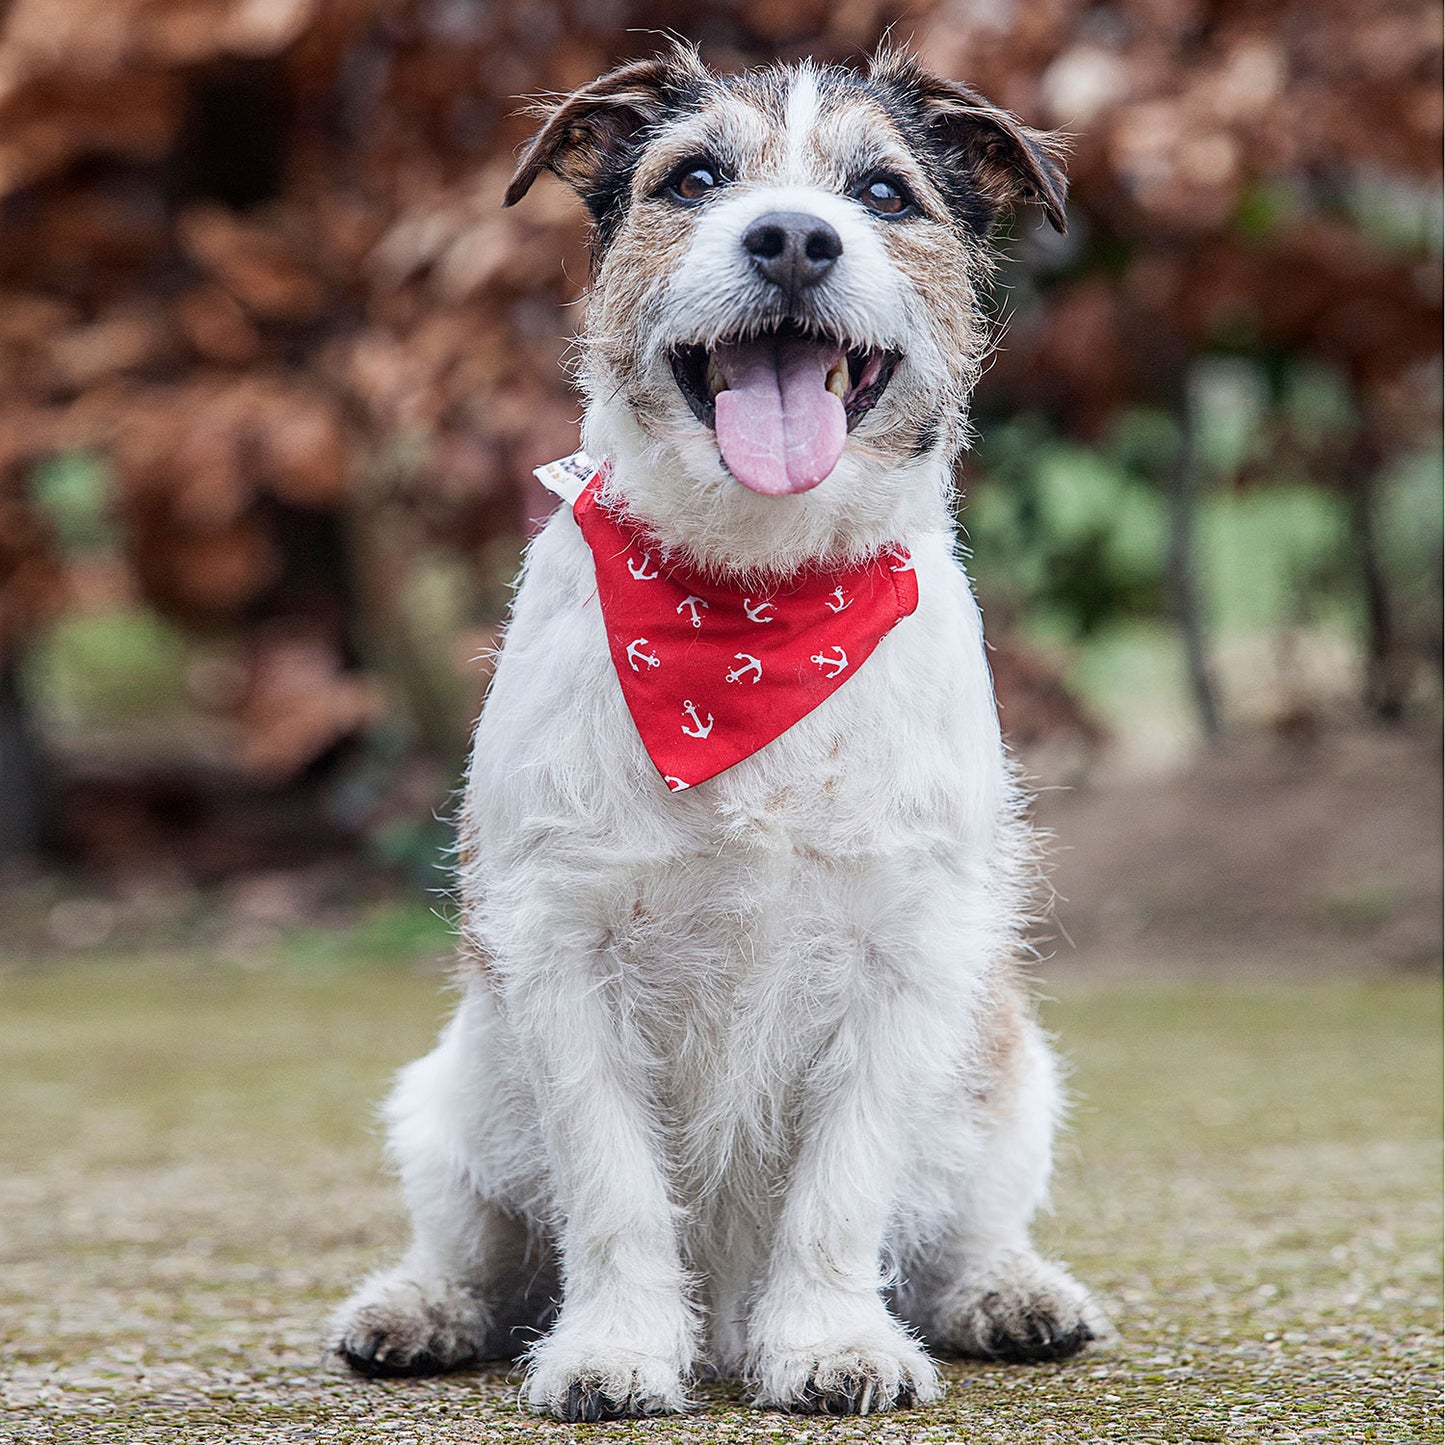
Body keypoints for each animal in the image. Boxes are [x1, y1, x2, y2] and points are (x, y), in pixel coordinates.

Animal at [335, 42, 1103, 1421]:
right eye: (691, 179)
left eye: (883, 192)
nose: (792, 237)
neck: (752, 595)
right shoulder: (564, 952)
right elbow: (611, 1190)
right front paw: (613, 1348)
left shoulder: (904, 957)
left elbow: (842, 1188)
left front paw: (829, 1338)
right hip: (448, 1097)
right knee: (483, 1243)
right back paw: (420, 1308)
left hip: (1007, 1081)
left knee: (957, 1226)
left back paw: (1003, 1291)